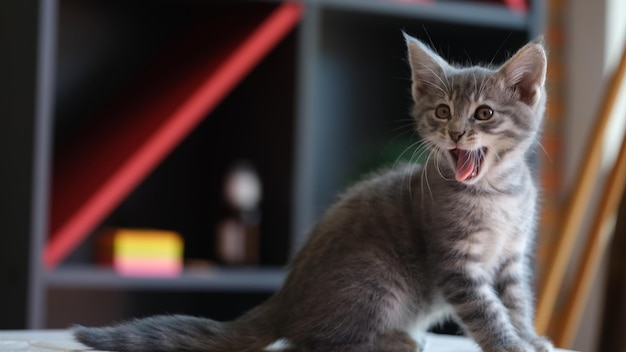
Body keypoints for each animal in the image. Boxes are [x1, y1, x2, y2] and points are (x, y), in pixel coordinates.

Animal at [72, 33, 552, 352]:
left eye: (484, 113)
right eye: (442, 111)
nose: (455, 133)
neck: (498, 194)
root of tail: (283, 301)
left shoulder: (511, 254)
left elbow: (515, 301)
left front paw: (529, 336)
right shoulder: (456, 263)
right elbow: (486, 311)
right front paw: (510, 345)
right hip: (375, 278)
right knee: (313, 343)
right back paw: (394, 339)